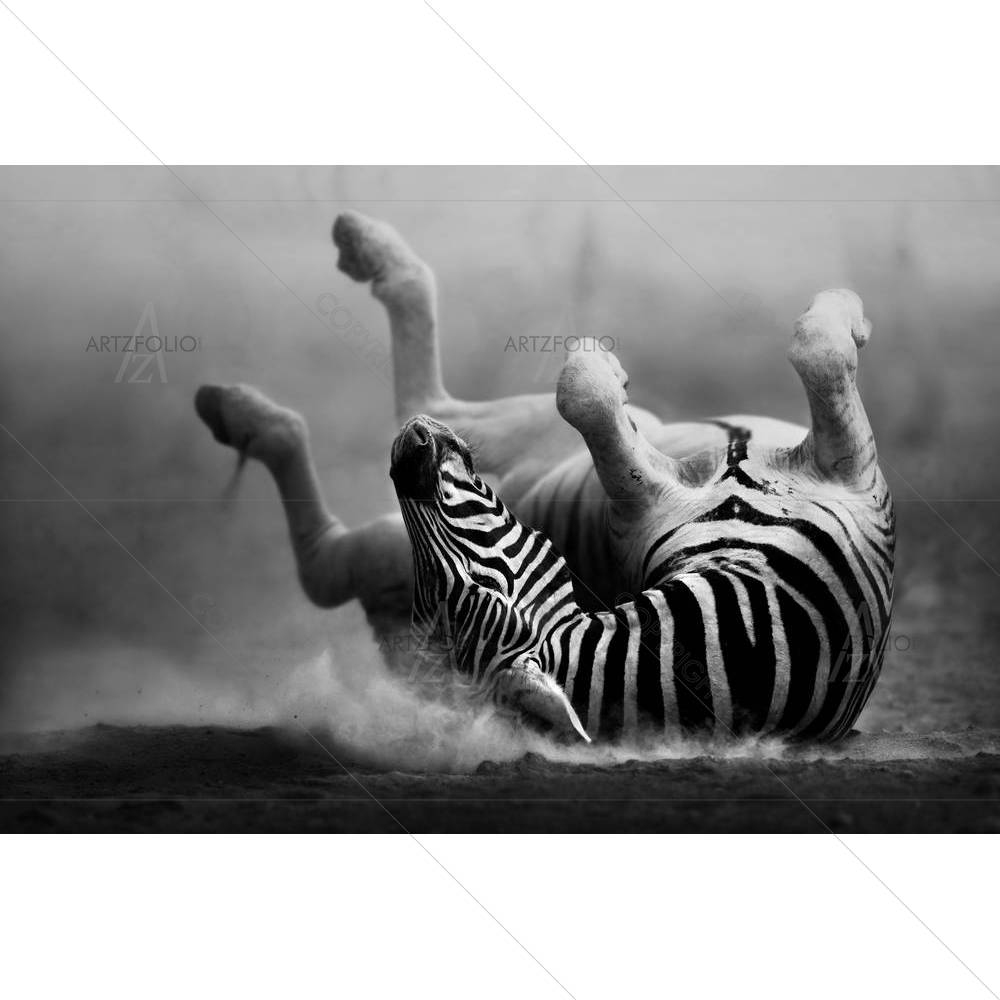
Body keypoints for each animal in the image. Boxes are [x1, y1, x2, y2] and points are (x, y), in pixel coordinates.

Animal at [194, 211, 894, 739]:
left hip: (470, 462)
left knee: (354, 515)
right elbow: (588, 394)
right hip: (490, 446)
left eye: (478, 579)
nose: (409, 459)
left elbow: (818, 354)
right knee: (376, 475)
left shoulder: (853, 477)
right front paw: (605, 367)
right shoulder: (642, 505)